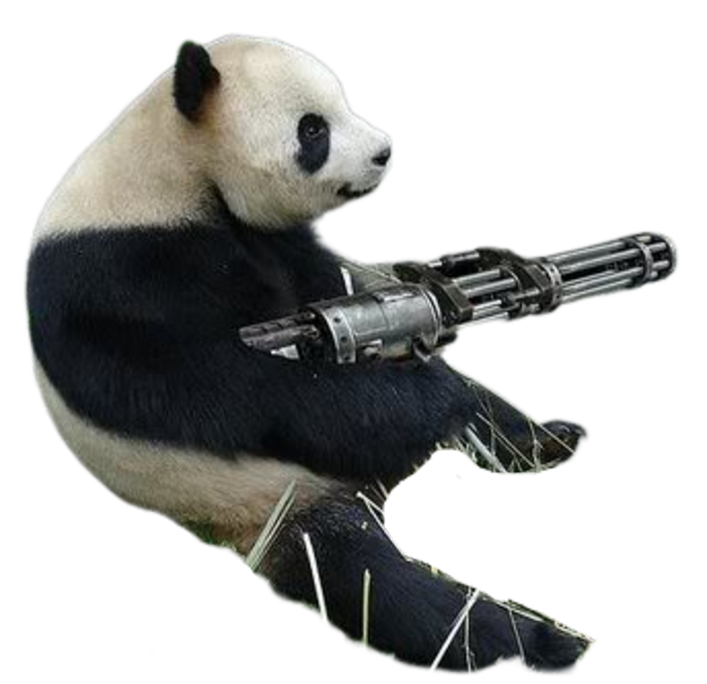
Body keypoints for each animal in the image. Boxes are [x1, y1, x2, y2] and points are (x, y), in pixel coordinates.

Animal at [24, 35, 590, 673]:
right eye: (313, 129)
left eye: (344, 104)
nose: (385, 152)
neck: (177, 167)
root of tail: (376, 488)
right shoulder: (113, 274)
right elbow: (218, 388)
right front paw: (427, 398)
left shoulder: (279, 246)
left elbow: (336, 285)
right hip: (262, 496)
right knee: (374, 585)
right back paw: (542, 641)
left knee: (484, 405)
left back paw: (548, 439)